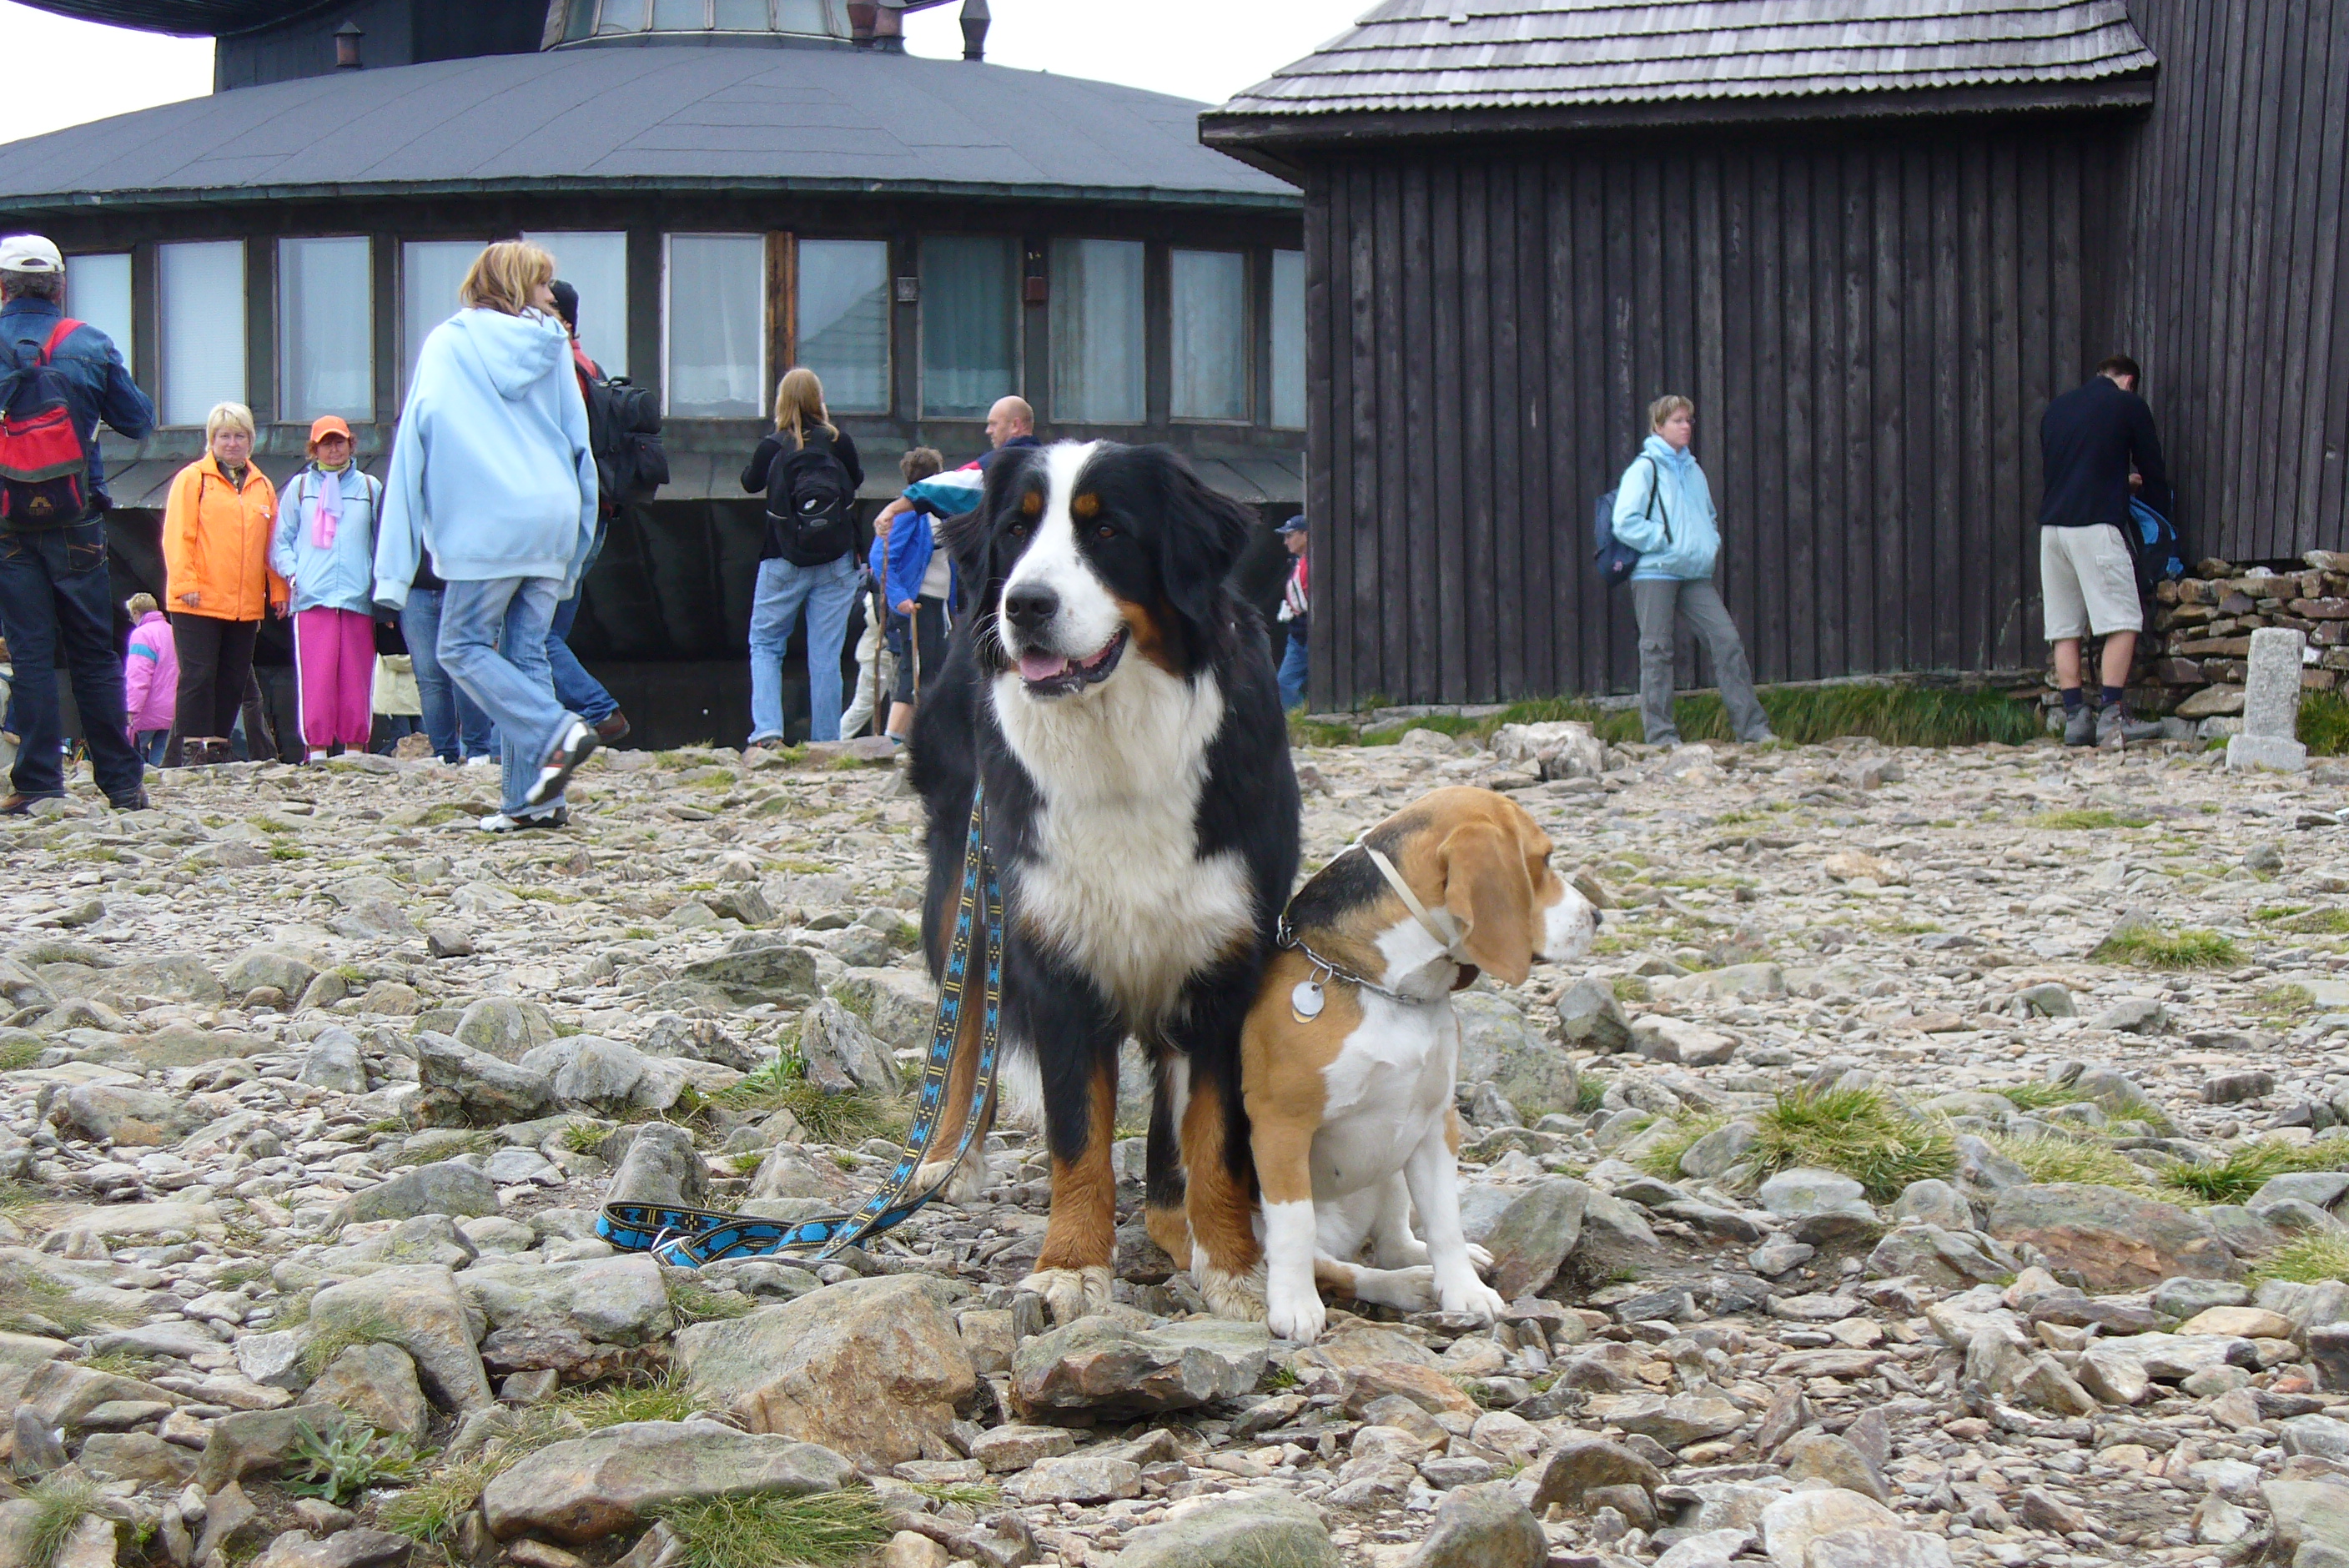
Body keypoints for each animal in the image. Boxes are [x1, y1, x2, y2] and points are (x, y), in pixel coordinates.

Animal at [906, 439, 1305, 1324]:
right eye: (1017, 530)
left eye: (1109, 530)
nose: (1024, 604)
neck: (1118, 749)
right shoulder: (1055, 959)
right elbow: (1077, 1136)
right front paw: (1069, 1267)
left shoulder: (1221, 964)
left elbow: (1214, 1138)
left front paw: (1234, 1268)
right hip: (966, 882)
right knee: (965, 1026)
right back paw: (948, 1158)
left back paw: (1173, 1223)